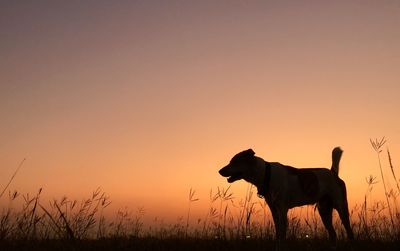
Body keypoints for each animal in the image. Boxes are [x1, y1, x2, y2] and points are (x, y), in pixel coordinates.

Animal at [219, 148, 354, 246]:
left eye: (234, 162)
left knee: (349, 230)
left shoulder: (282, 209)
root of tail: (334, 173)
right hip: (324, 210)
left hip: (341, 206)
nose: (219, 171)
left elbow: (283, 231)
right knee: (333, 233)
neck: (266, 174)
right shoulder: (273, 209)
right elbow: (278, 230)